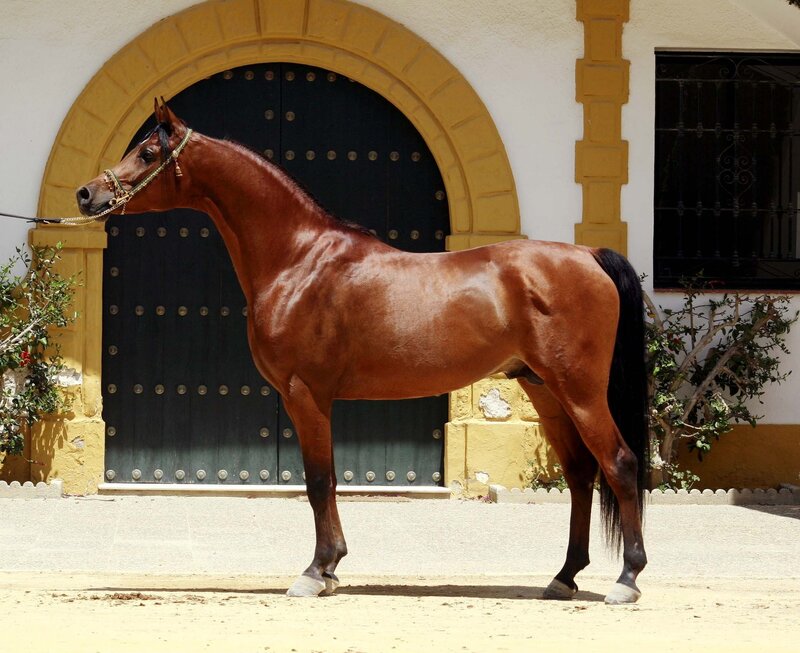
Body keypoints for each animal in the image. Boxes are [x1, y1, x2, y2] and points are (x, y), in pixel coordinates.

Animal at [76, 99, 649, 604]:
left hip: (579, 391)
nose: (86, 194)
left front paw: (316, 572)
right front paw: (329, 569)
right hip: (545, 391)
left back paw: (626, 580)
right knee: (580, 473)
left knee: (619, 464)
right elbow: (325, 481)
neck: (299, 259)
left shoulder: (305, 395)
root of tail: (589, 254)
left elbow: (318, 481)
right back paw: (564, 577)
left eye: (148, 152)